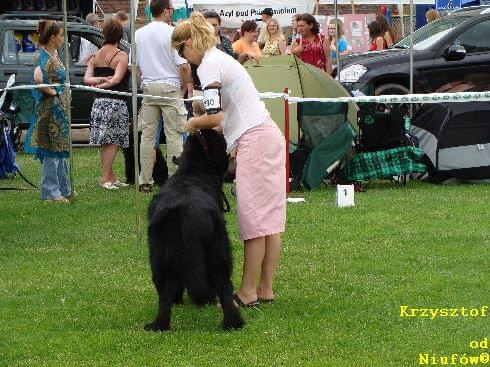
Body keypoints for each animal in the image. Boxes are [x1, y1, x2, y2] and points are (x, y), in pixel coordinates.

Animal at [145, 129, 245, 334]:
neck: (191, 170)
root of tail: (191, 212)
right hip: (216, 249)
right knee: (223, 285)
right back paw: (232, 323)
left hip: (162, 255)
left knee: (166, 288)